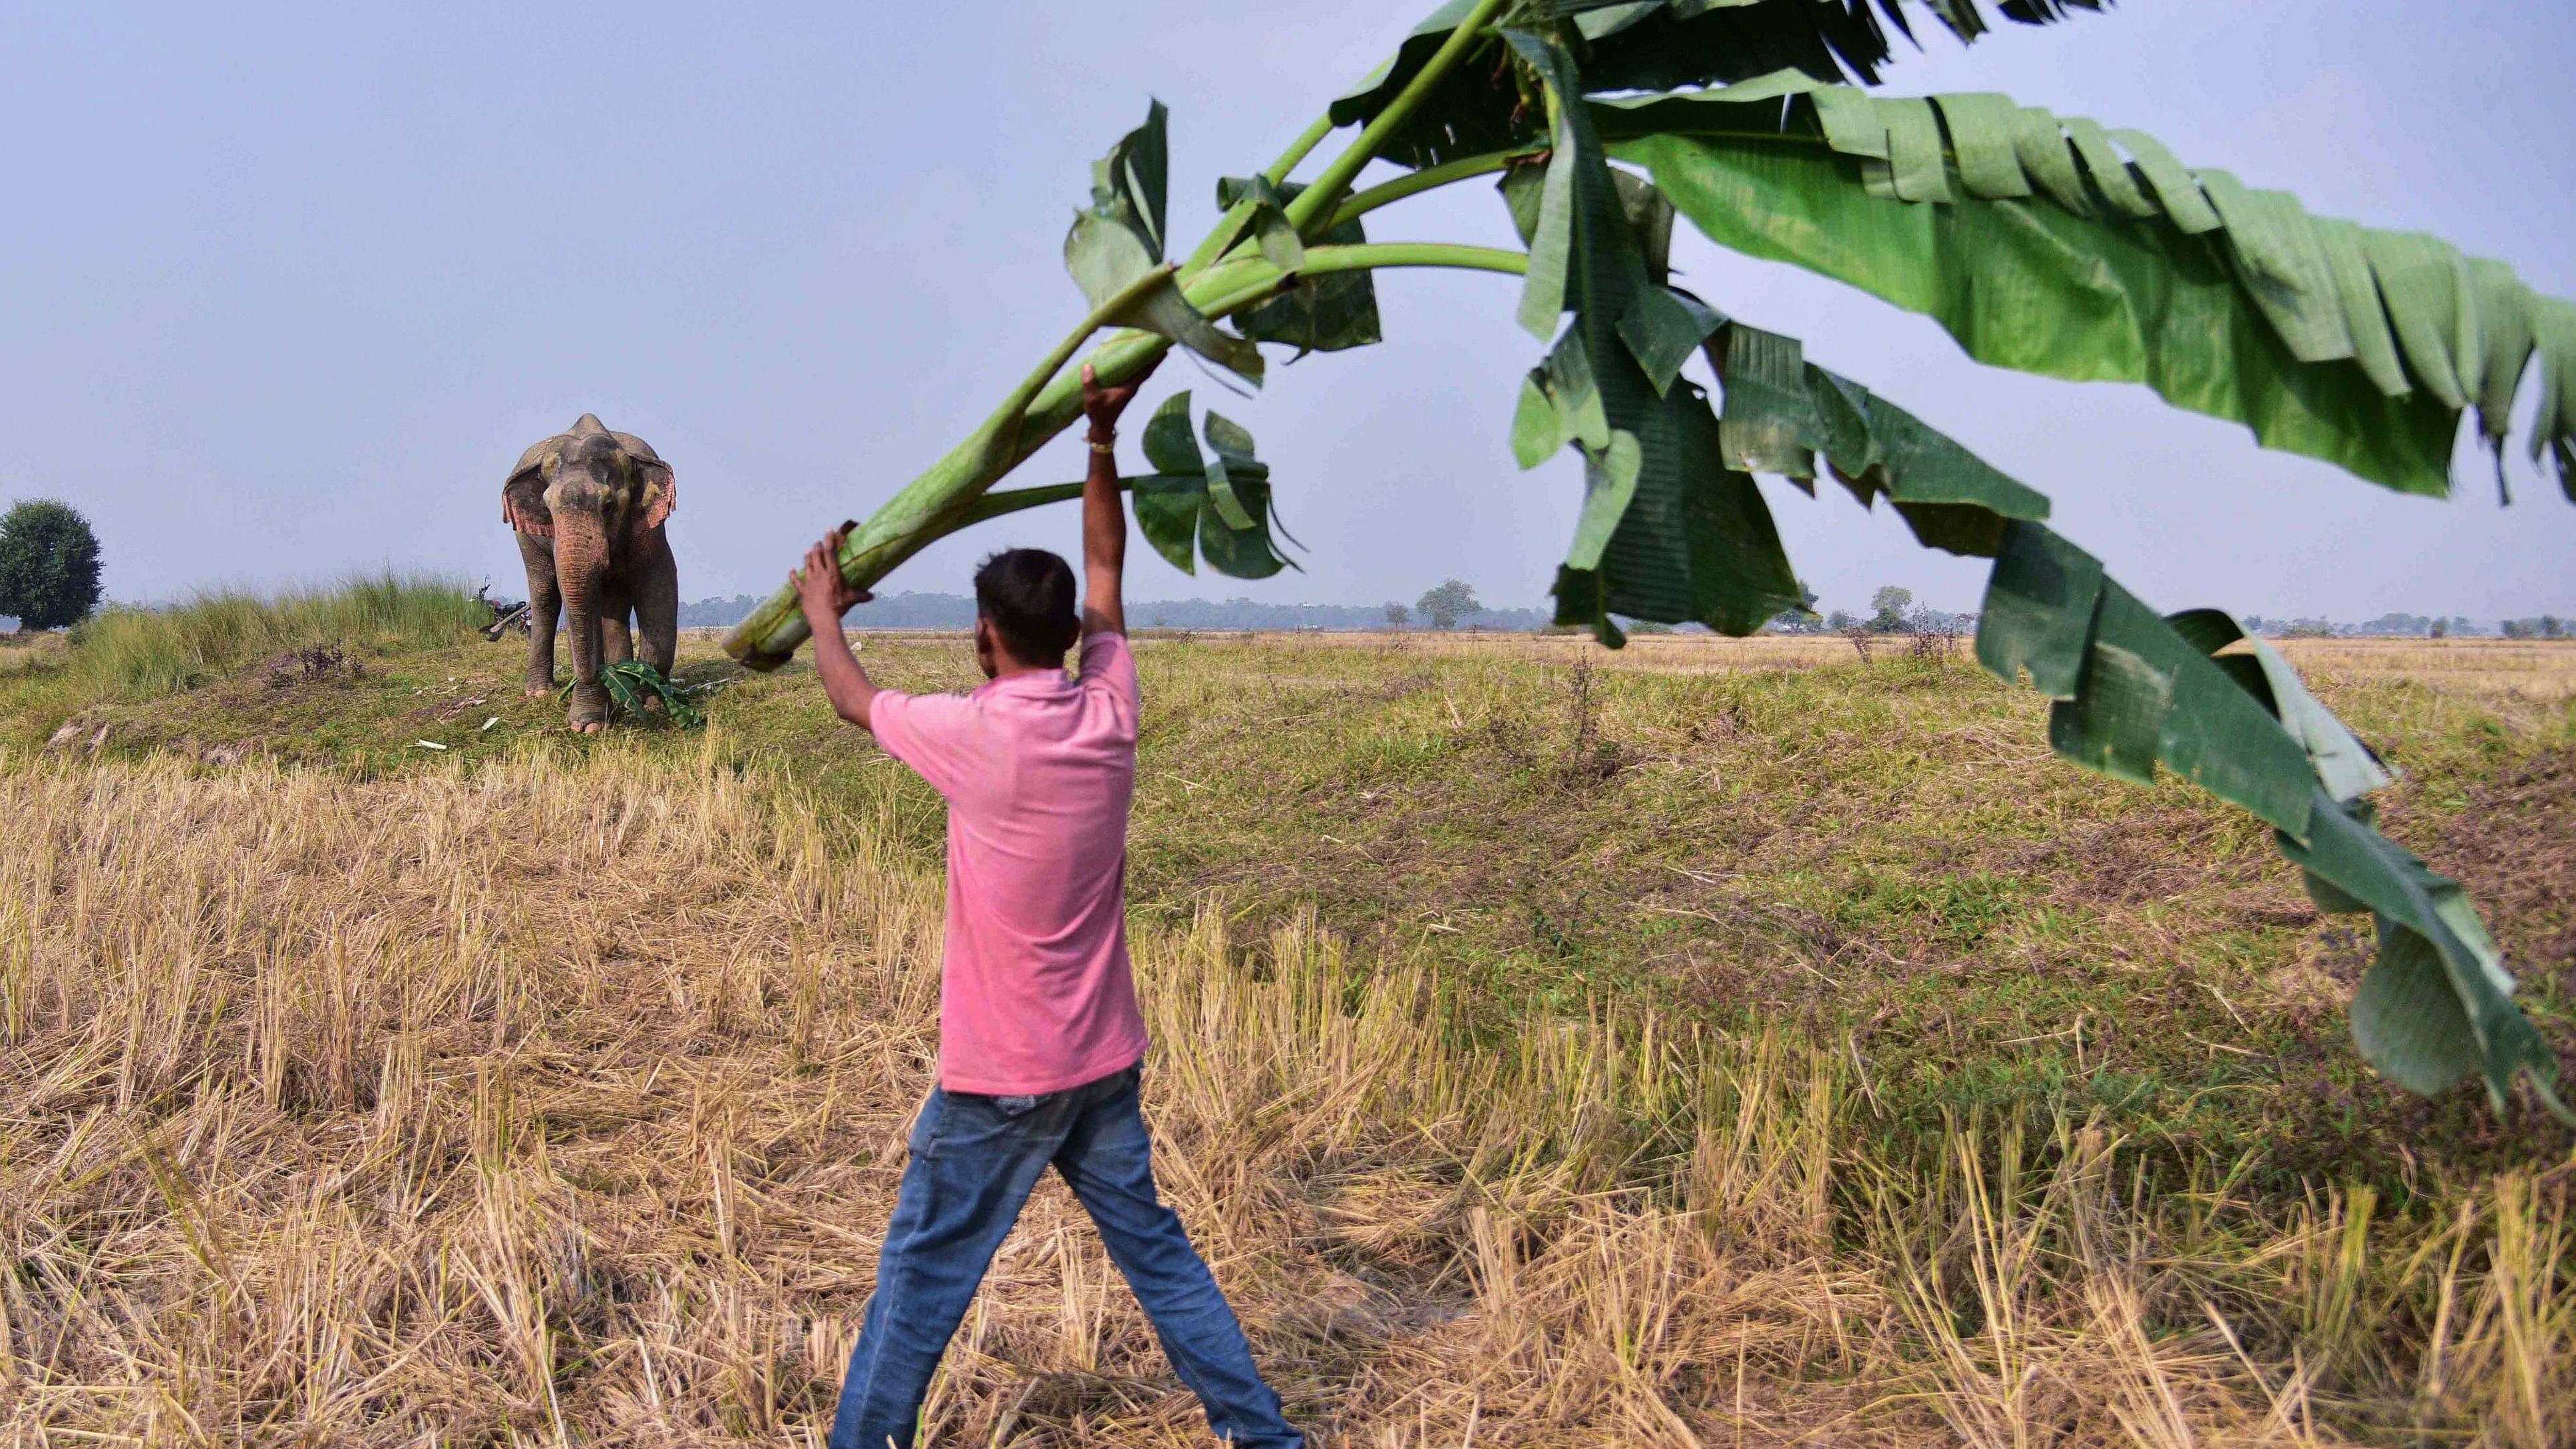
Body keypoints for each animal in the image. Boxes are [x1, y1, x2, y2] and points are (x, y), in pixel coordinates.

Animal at [502, 415, 679, 732]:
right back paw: (539, 691)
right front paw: (589, 724)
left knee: (615, 603)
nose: (599, 672)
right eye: (548, 509)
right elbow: (577, 600)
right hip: (524, 537)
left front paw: (650, 700)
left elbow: (658, 583)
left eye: (608, 506)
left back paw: (625, 680)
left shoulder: (650, 526)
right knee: (545, 595)